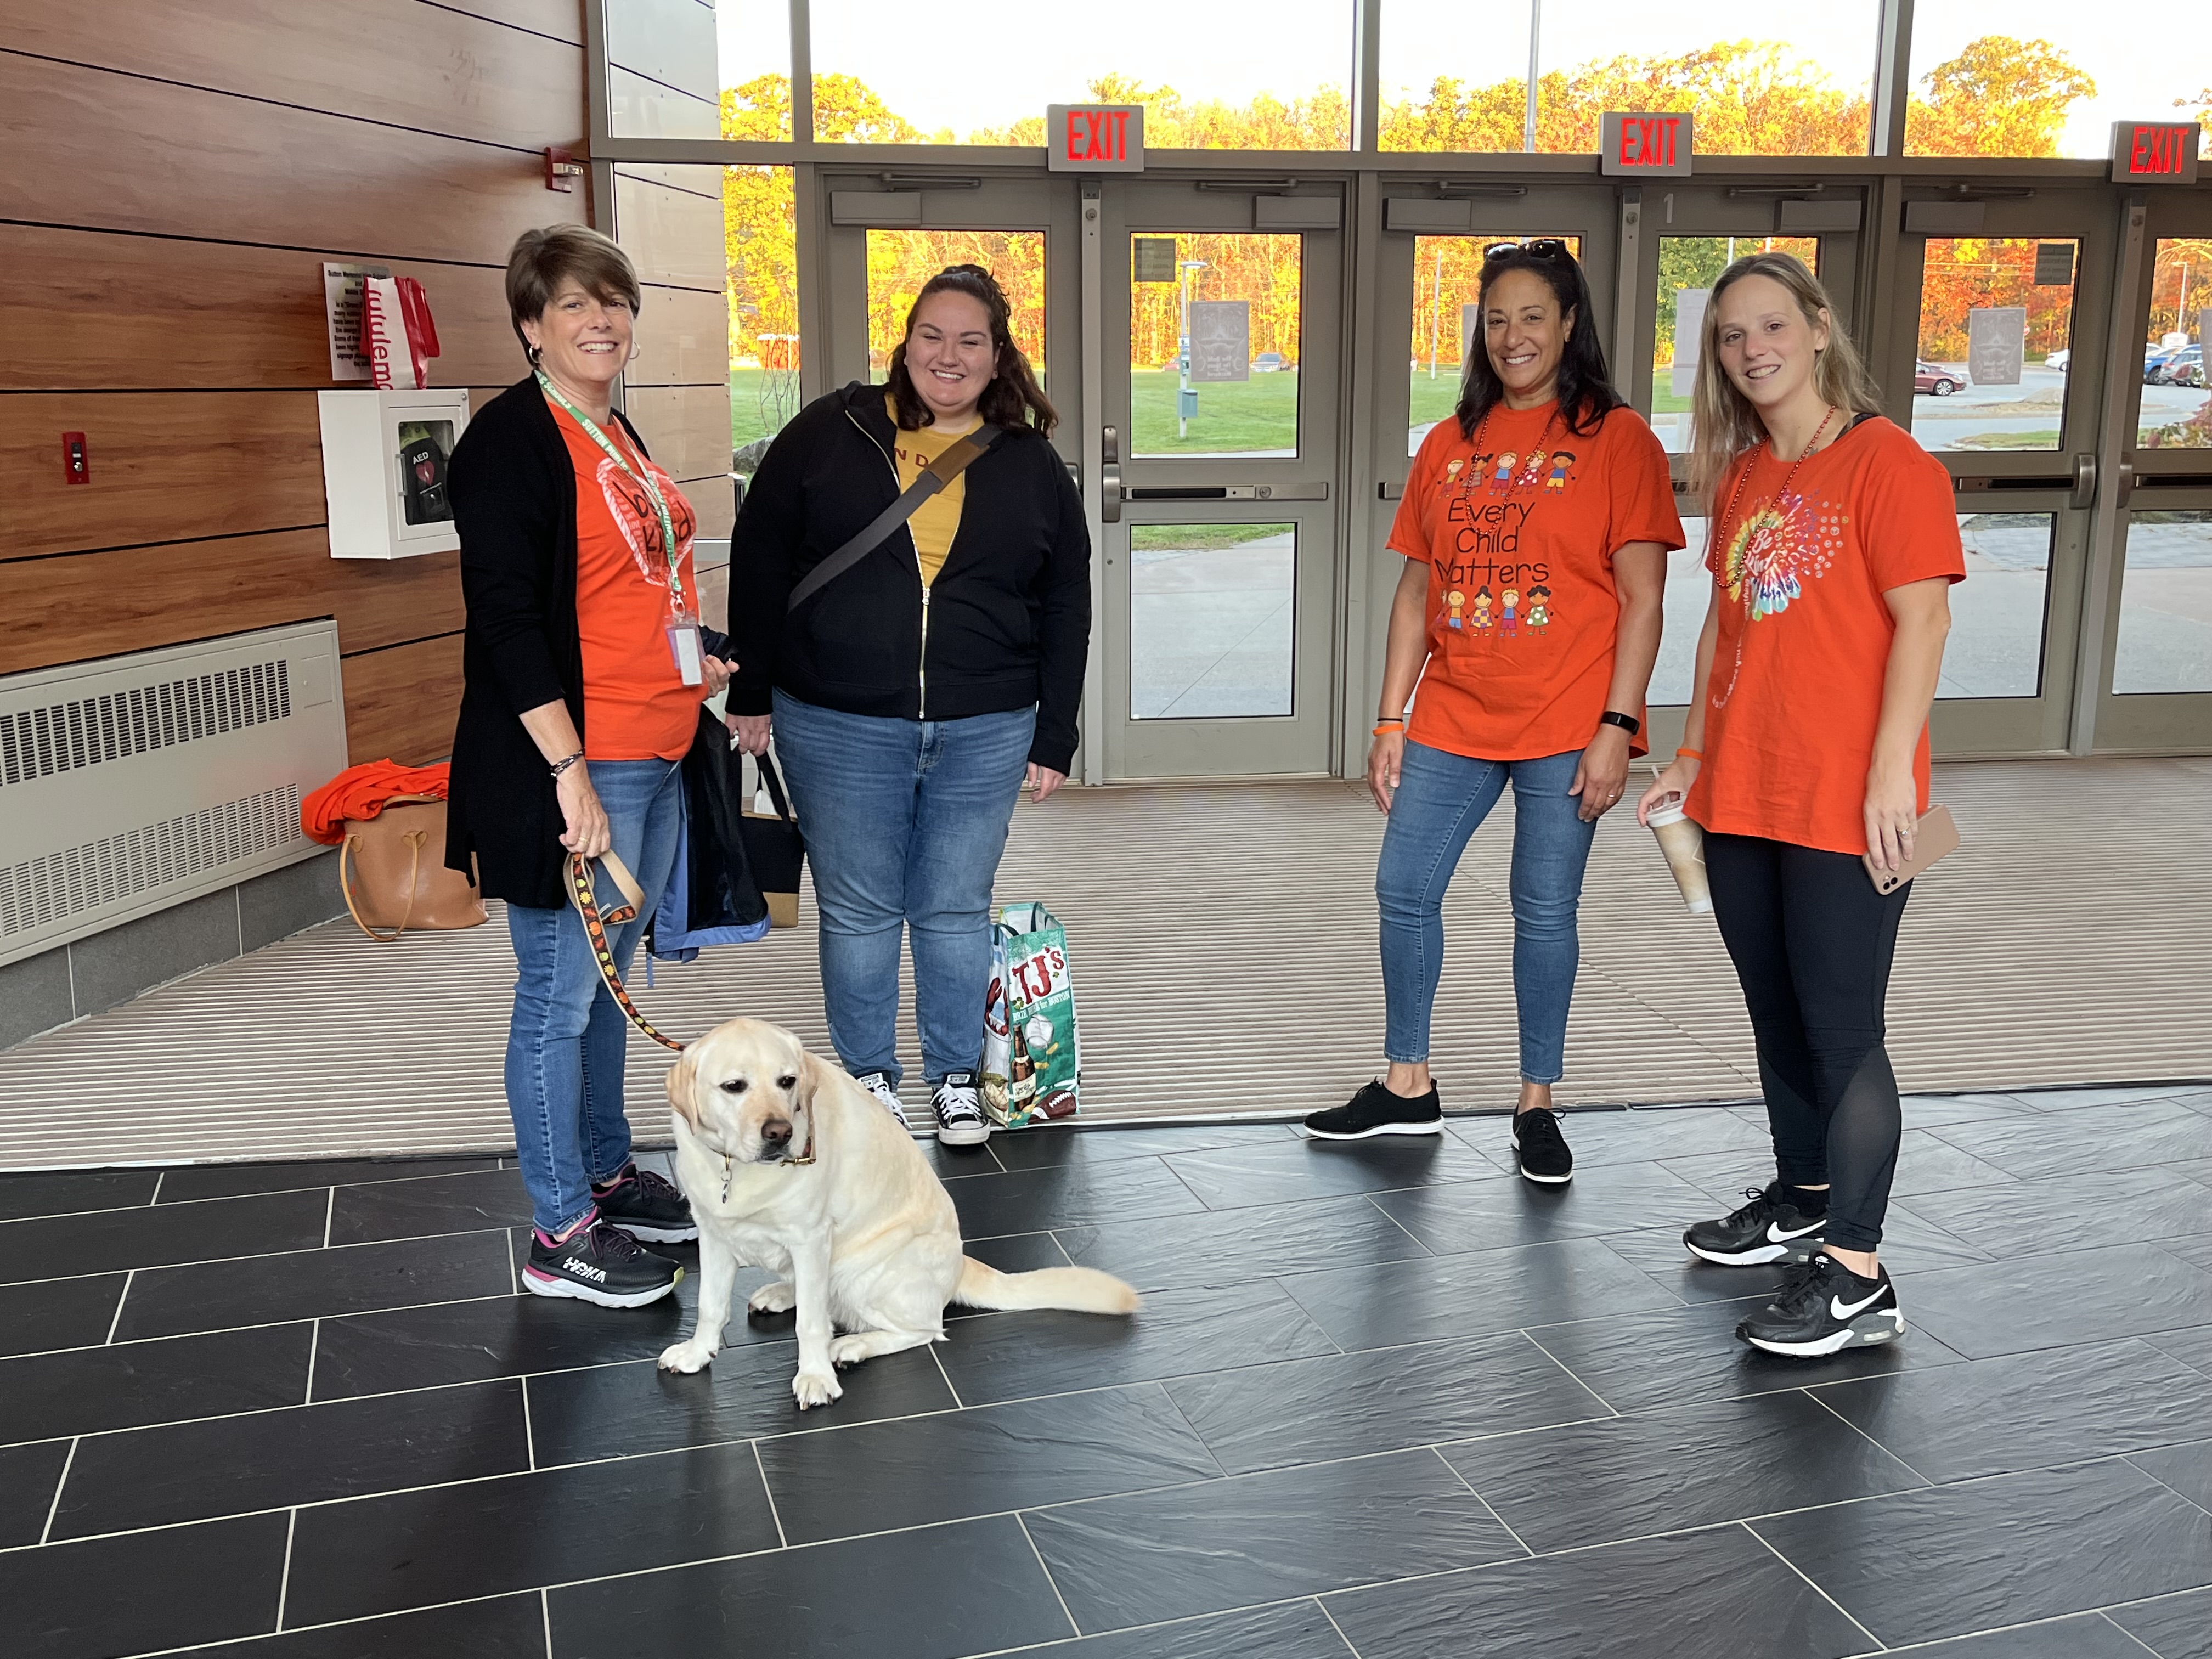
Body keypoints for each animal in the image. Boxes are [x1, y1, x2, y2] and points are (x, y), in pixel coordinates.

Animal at [650, 1022, 1141, 1407]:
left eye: (787, 1081)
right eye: (734, 1087)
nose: (780, 1134)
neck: (735, 1168)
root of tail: (961, 1265)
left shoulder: (810, 1237)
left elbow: (811, 1325)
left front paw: (815, 1378)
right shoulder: (714, 1234)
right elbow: (711, 1305)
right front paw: (698, 1353)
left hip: (862, 1272)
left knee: (922, 1329)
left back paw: (853, 1346)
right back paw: (781, 1294)